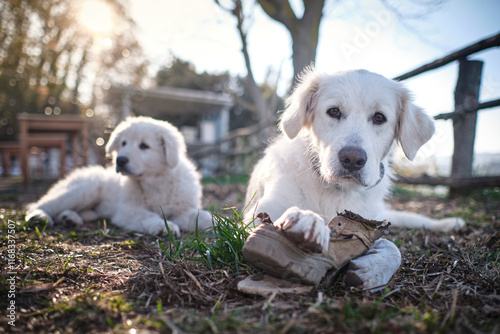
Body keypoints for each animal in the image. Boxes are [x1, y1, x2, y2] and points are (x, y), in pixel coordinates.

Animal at [26, 116, 212, 236]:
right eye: (123, 143)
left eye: (144, 146)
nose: (120, 160)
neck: (155, 183)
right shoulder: (127, 210)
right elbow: (148, 215)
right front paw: (163, 226)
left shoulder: (182, 209)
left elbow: (201, 216)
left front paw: (217, 223)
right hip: (83, 190)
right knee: (43, 204)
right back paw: (39, 216)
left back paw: (70, 218)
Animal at [245, 69, 464, 290]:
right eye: (334, 111)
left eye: (379, 117)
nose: (352, 159)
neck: (335, 189)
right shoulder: (253, 216)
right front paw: (306, 220)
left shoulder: (367, 223)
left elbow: (393, 248)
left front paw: (374, 269)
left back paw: (450, 223)